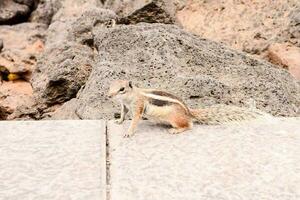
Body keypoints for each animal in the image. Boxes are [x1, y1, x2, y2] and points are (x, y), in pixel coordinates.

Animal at [108, 79, 272, 138]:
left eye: (122, 89)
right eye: (110, 86)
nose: (109, 95)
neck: (131, 96)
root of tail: (188, 112)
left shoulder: (138, 107)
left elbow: (135, 120)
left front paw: (128, 132)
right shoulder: (125, 106)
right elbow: (123, 113)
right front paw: (119, 121)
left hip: (174, 119)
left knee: (189, 125)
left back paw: (176, 130)